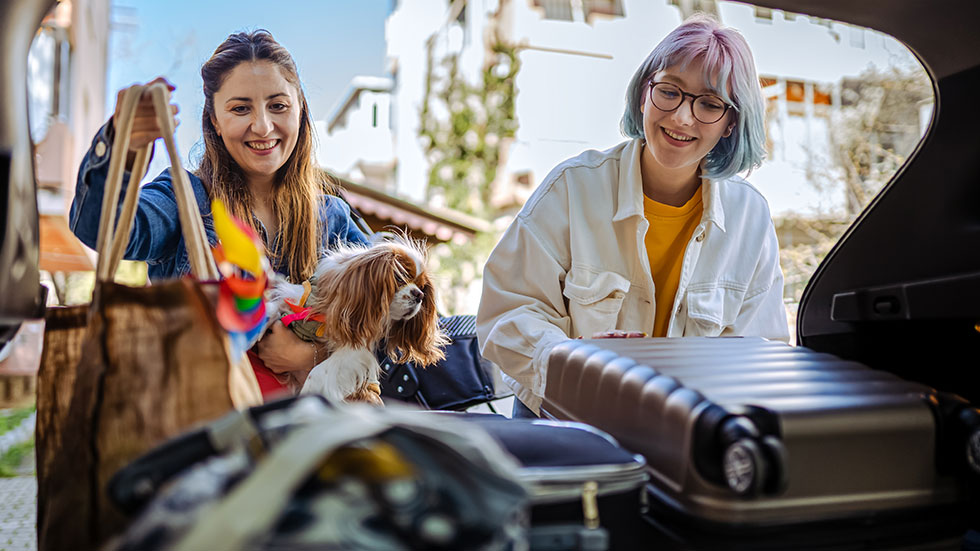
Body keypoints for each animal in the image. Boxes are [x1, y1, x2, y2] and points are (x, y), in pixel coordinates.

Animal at [266, 236, 446, 406]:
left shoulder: (356, 350)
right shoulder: (297, 301)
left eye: (422, 287)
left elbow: (317, 373)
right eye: (400, 278)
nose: (419, 295)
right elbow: (273, 305)